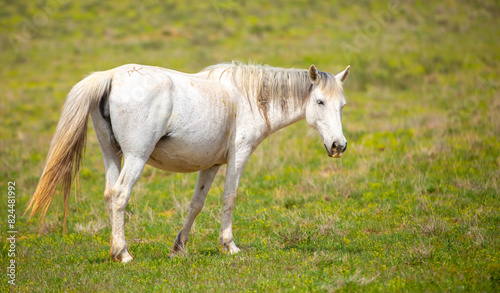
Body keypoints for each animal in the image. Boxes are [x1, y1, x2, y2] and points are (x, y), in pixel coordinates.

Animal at [27, 62, 348, 262]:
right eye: (320, 102)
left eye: (342, 105)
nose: (339, 145)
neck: (247, 98)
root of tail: (111, 76)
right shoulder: (239, 156)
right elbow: (229, 198)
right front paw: (229, 245)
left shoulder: (211, 165)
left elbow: (196, 204)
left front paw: (178, 247)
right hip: (135, 158)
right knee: (119, 195)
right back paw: (124, 253)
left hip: (111, 154)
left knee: (109, 193)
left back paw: (114, 250)